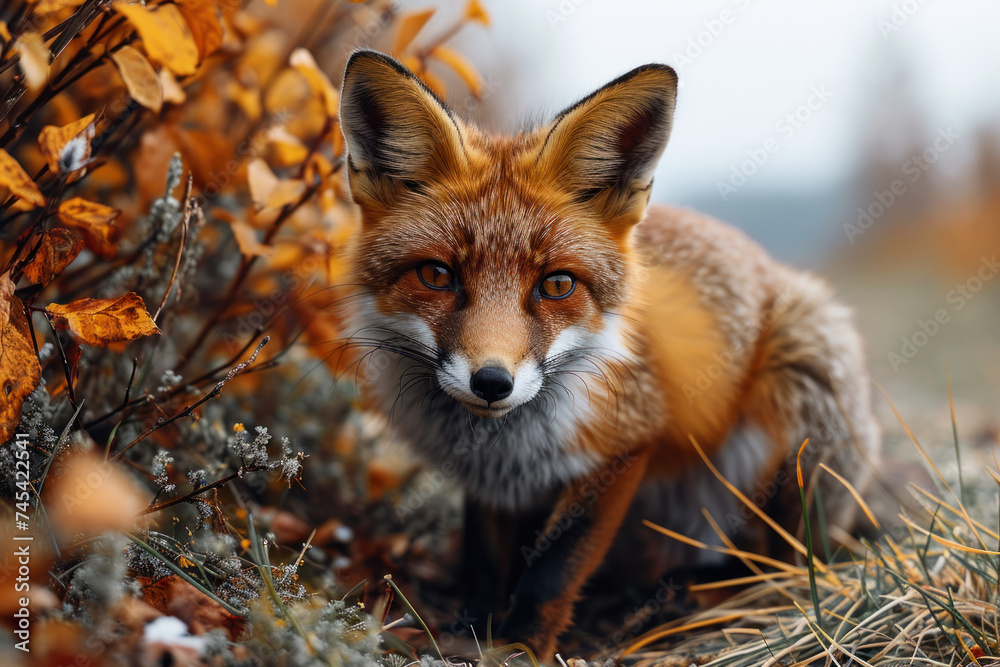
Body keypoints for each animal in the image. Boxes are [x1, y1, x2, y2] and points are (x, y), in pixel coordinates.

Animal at [337, 50, 880, 661]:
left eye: (557, 285)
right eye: (436, 275)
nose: (492, 382)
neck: (507, 444)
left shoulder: (623, 448)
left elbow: (554, 567)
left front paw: (522, 645)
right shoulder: (492, 483)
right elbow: (483, 560)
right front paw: (467, 631)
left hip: (801, 406)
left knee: (782, 567)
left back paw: (693, 597)